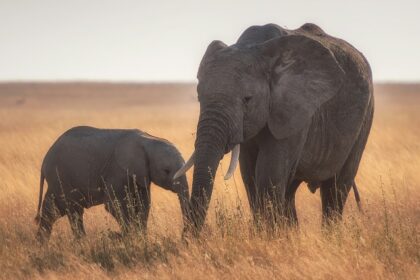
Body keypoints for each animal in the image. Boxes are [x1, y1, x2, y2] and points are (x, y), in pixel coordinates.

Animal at [36, 126, 190, 242]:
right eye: (166, 171)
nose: (184, 237)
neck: (148, 140)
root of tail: (44, 162)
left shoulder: (141, 175)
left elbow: (143, 204)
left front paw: (141, 238)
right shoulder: (117, 171)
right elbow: (114, 205)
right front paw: (129, 238)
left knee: (53, 210)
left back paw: (41, 244)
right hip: (61, 177)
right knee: (74, 210)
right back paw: (82, 243)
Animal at [175, 23, 374, 233]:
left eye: (247, 99)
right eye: (199, 97)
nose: (188, 238)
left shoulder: (295, 109)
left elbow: (268, 174)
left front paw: (270, 236)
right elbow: (250, 175)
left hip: (365, 117)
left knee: (336, 188)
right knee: (290, 191)